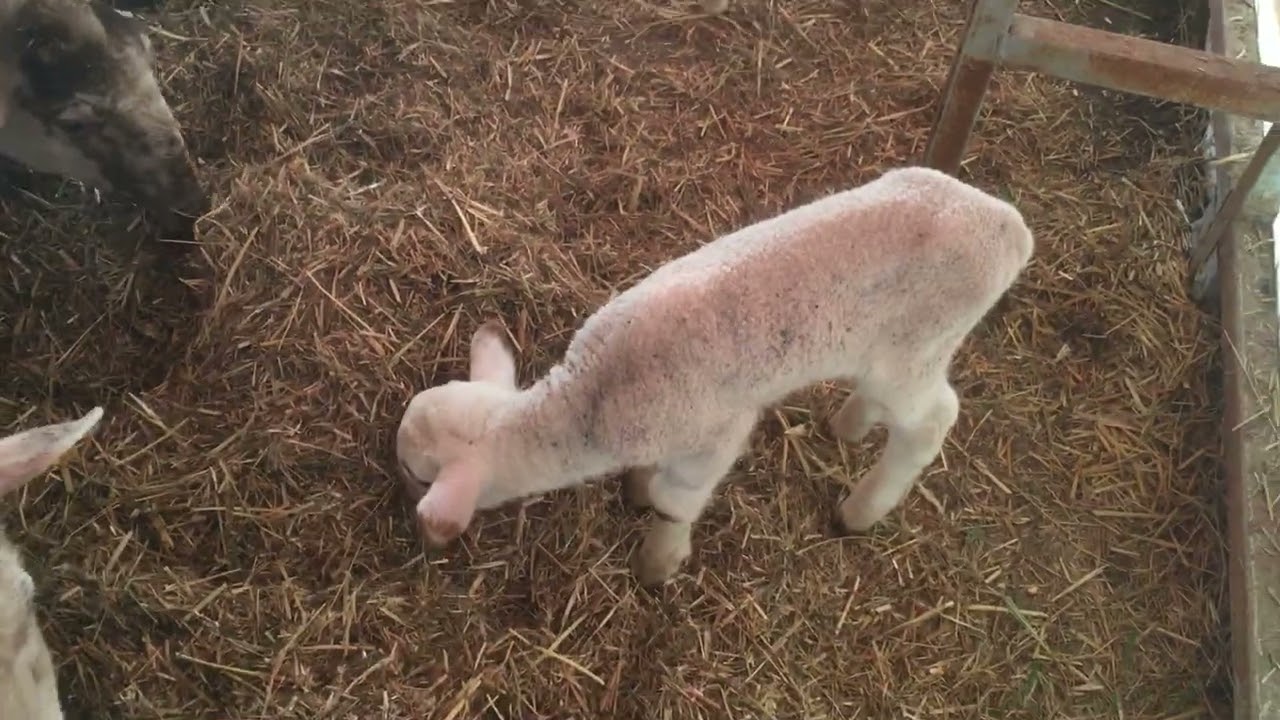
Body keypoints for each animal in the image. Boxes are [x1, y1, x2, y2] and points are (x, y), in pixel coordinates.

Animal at [395, 165, 1035, 587]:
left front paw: (657, 562)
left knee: (932, 420)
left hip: (913, 348)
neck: (592, 400)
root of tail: (1009, 228)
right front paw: (635, 488)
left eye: (415, 474)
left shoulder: (716, 433)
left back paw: (860, 510)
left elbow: (677, 499)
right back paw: (849, 423)